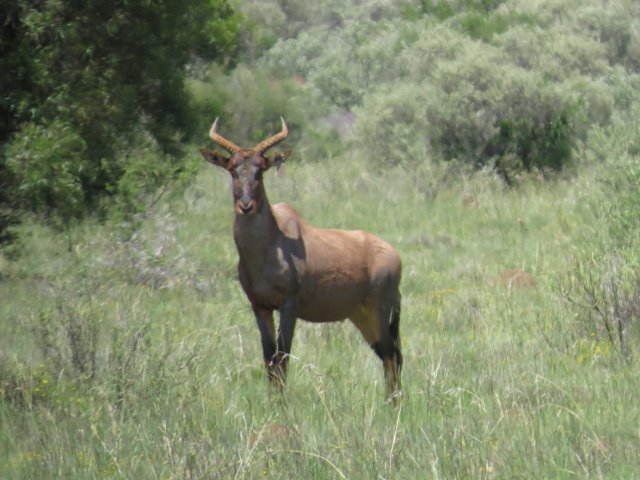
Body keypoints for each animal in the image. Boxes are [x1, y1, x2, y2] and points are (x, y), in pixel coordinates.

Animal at [198, 118, 402, 400]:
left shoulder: (289, 305)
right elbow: (268, 356)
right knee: (388, 355)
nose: (246, 206)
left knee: (391, 356)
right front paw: (273, 402)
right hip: (361, 315)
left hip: (380, 310)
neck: (273, 242)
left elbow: (283, 355)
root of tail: (394, 254)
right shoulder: (259, 306)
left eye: (260, 170)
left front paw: (283, 404)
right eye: (232, 169)